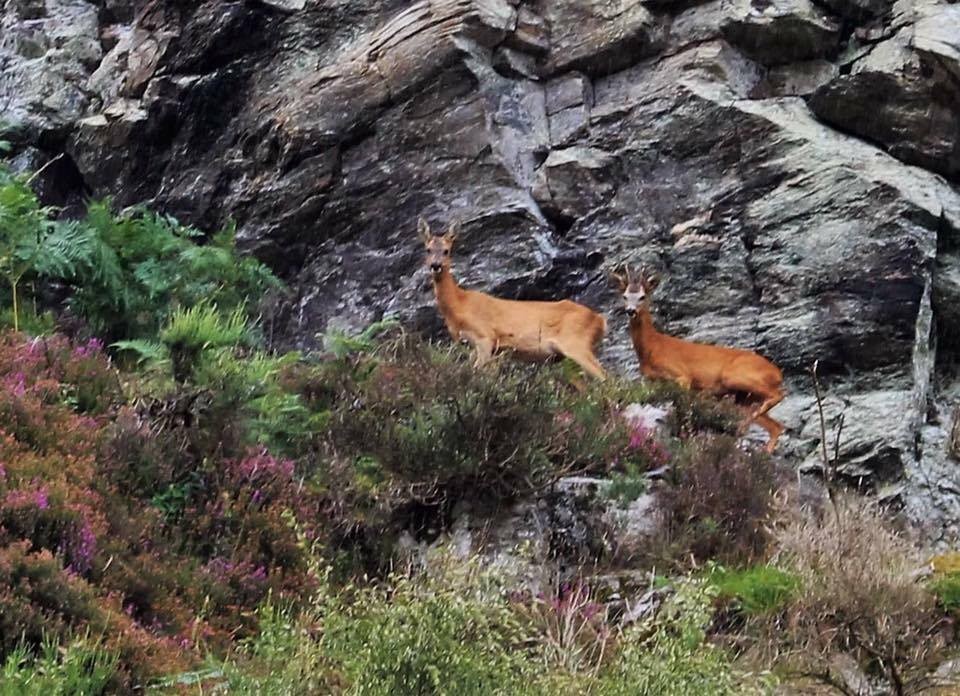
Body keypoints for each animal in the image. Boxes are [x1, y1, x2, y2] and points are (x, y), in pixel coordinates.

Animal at [419, 217, 607, 380]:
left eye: (446, 251)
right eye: (428, 250)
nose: (435, 265)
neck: (459, 304)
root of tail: (600, 320)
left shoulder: (485, 337)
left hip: (576, 342)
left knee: (605, 378)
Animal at [611, 265, 785, 453]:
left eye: (642, 296)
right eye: (625, 296)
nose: (630, 311)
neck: (652, 347)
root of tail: (777, 374)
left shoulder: (682, 376)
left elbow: (683, 407)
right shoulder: (651, 381)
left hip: (736, 376)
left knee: (778, 395)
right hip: (745, 398)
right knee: (776, 426)